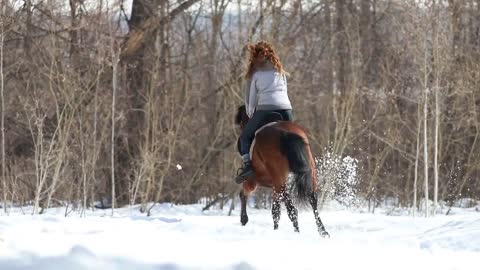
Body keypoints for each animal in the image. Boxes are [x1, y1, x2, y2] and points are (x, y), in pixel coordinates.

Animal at [233, 105, 328, 236]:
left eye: (242, 122)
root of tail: (285, 133)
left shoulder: (253, 180)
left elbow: (243, 194)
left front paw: (244, 219)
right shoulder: (274, 186)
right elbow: (275, 210)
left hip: (279, 180)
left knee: (292, 209)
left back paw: (297, 232)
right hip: (308, 172)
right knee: (312, 199)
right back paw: (323, 232)